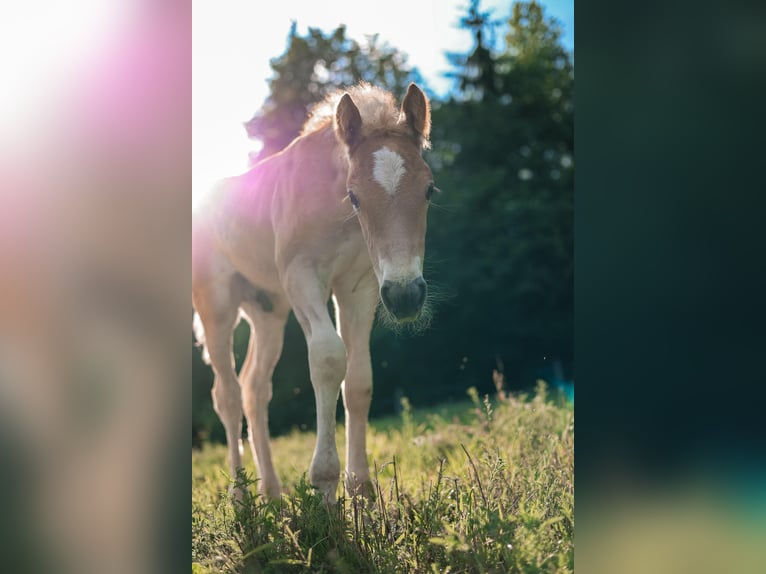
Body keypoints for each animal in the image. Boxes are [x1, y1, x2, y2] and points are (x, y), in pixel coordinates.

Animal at [192, 82, 437, 503]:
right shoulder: (302, 278)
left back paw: (272, 495)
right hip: (217, 305)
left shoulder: (360, 286)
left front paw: (361, 492)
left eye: (428, 190)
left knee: (254, 387)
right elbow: (327, 359)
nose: (406, 295)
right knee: (227, 393)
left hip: (268, 312)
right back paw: (240, 498)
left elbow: (358, 378)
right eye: (354, 196)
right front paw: (324, 486)